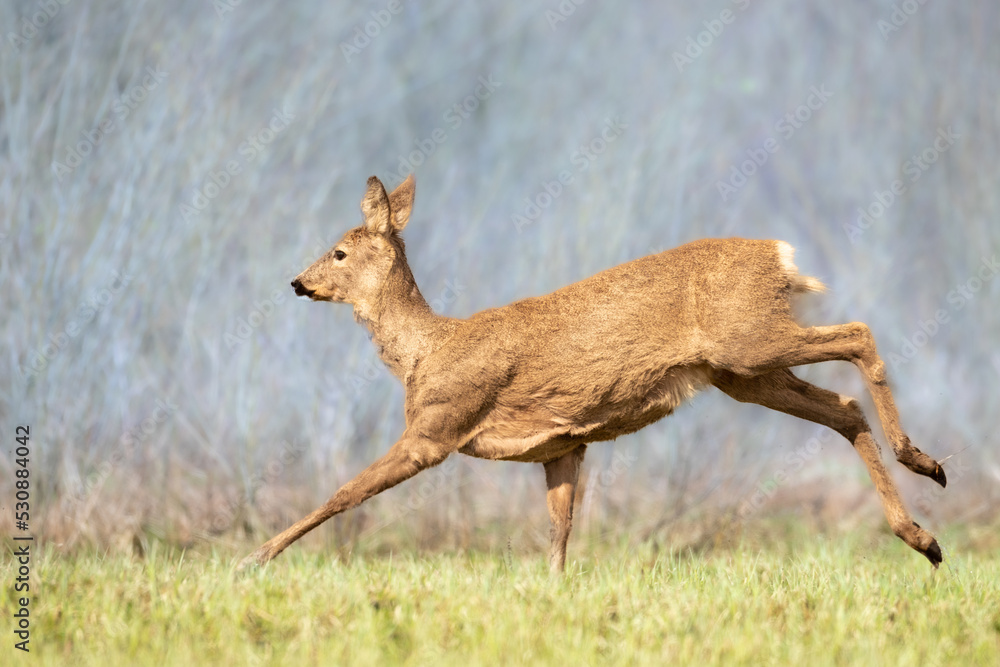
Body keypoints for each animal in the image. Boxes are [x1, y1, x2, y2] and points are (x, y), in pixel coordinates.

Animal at [237, 174, 947, 573]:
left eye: (338, 251)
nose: (297, 282)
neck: (425, 351)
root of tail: (779, 255)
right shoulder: (564, 446)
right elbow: (559, 534)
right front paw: (552, 594)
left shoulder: (435, 429)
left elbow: (343, 492)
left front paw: (254, 558)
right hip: (742, 373)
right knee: (842, 409)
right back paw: (923, 536)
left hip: (749, 342)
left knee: (859, 335)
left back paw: (923, 461)